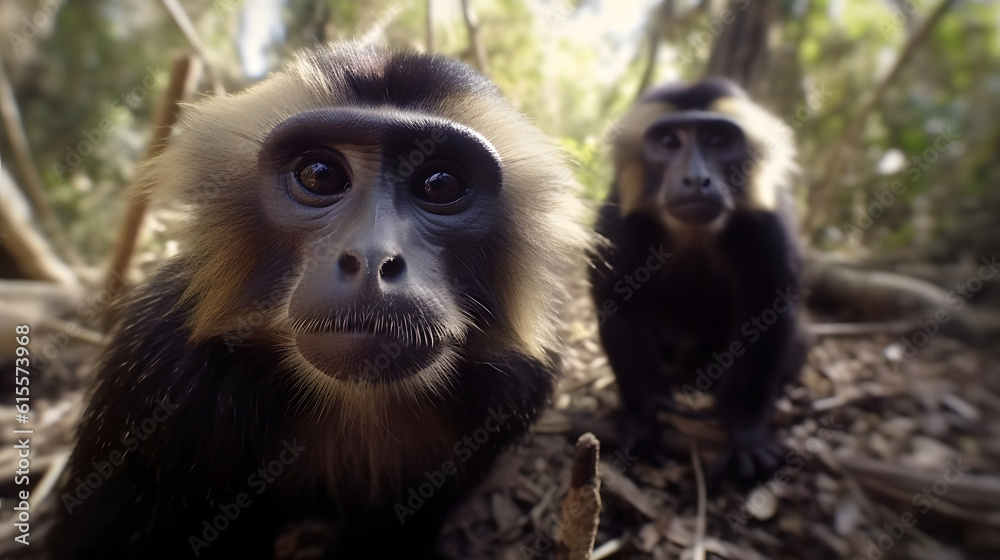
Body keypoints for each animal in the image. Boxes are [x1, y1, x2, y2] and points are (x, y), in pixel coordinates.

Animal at [590, 79, 808, 480]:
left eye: (718, 141)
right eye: (669, 142)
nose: (695, 179)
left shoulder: (769, 219)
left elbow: (770, 307)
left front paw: (745, 430)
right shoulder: (618, 218)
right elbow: (618, 304)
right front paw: (646, 415)